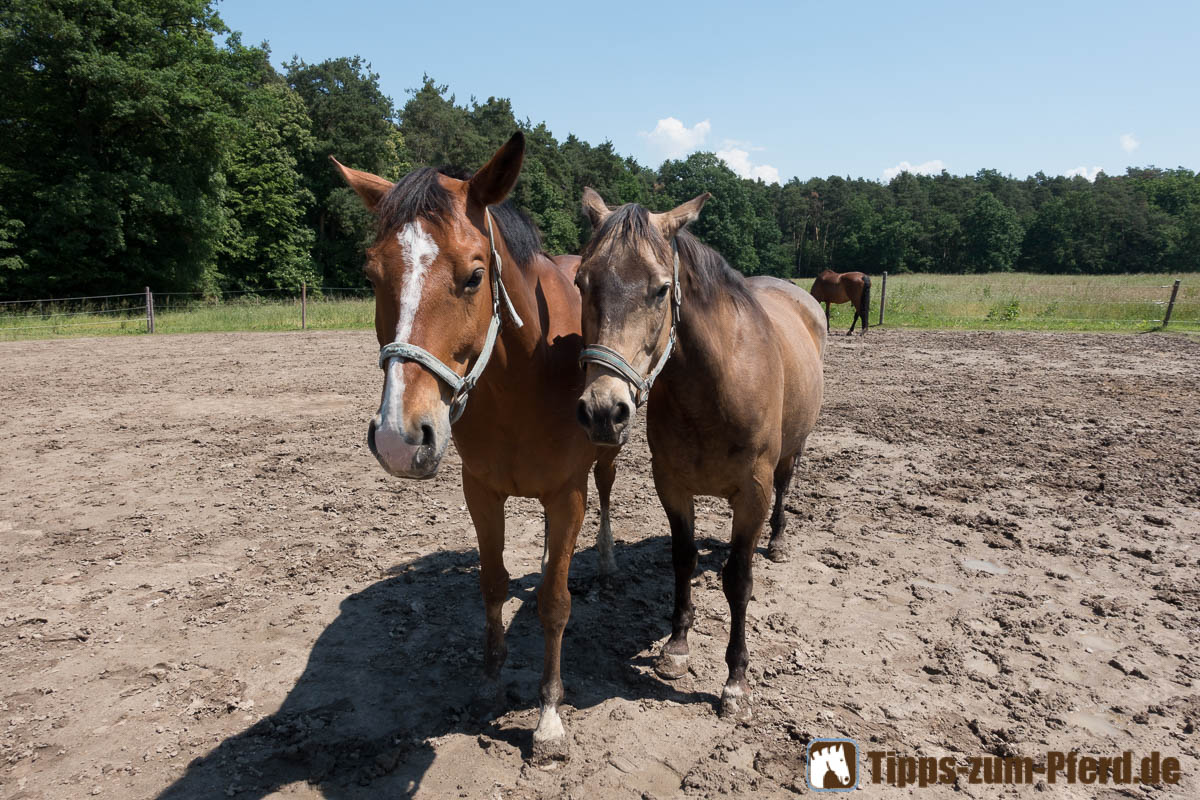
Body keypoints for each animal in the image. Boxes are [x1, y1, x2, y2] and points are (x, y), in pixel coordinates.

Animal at [336, 133, 624, 762]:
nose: (399, 437)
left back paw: (606, 562)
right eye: (371, 275)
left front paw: (548, 718)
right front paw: (490, 683)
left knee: (605, 496)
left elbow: (555, 602)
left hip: (607, 452)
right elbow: (493, 584)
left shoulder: (567, 494)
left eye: (473, 277)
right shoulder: (482, 492)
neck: (522, 378)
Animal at [573, 189, 825, 724]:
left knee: (786, 489)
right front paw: (676, 646)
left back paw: (778, 542)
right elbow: (683, 559)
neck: (716, 384)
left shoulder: (752, 493)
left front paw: (735, 681)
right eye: (582, 282)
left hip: (793, 451)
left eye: (660, 289)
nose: (604, 410)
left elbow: (738, 579)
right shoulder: (672, 484)